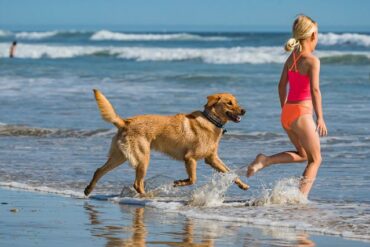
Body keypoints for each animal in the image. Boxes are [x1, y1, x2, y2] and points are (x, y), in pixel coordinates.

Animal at [84, 89, 249, 196]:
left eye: (236, 102)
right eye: (229, 103)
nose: (244, 110)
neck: (210, 120)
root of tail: (125, 123)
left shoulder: (212, 159)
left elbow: (231, 173)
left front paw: (243, 185)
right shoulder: (190, 158)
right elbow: (193, 179)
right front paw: (180, 183)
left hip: (120, 156)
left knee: (99, 170)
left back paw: (88, 189)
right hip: (143, 158)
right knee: (137, 183)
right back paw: (147, 197)